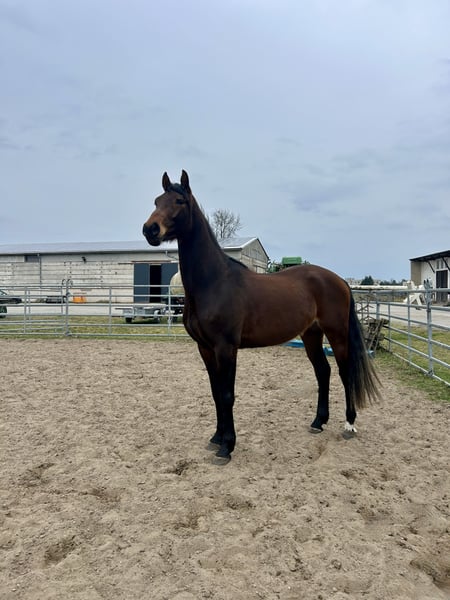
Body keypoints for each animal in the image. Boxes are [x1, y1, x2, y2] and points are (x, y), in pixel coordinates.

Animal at [142, 171, 380, 462]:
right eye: (156, 200)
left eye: (178, 201)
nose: (150, 230)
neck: (213, 282)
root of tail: (340, 281)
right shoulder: (205, 348)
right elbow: (215, 393)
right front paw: (216, 438)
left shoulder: (226, 348)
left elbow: (227, 394)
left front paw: (227, 447)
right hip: (311, 334)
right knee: (323, 371)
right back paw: (318, 422)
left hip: (337, 334)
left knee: (345, 373)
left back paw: (349, 424)